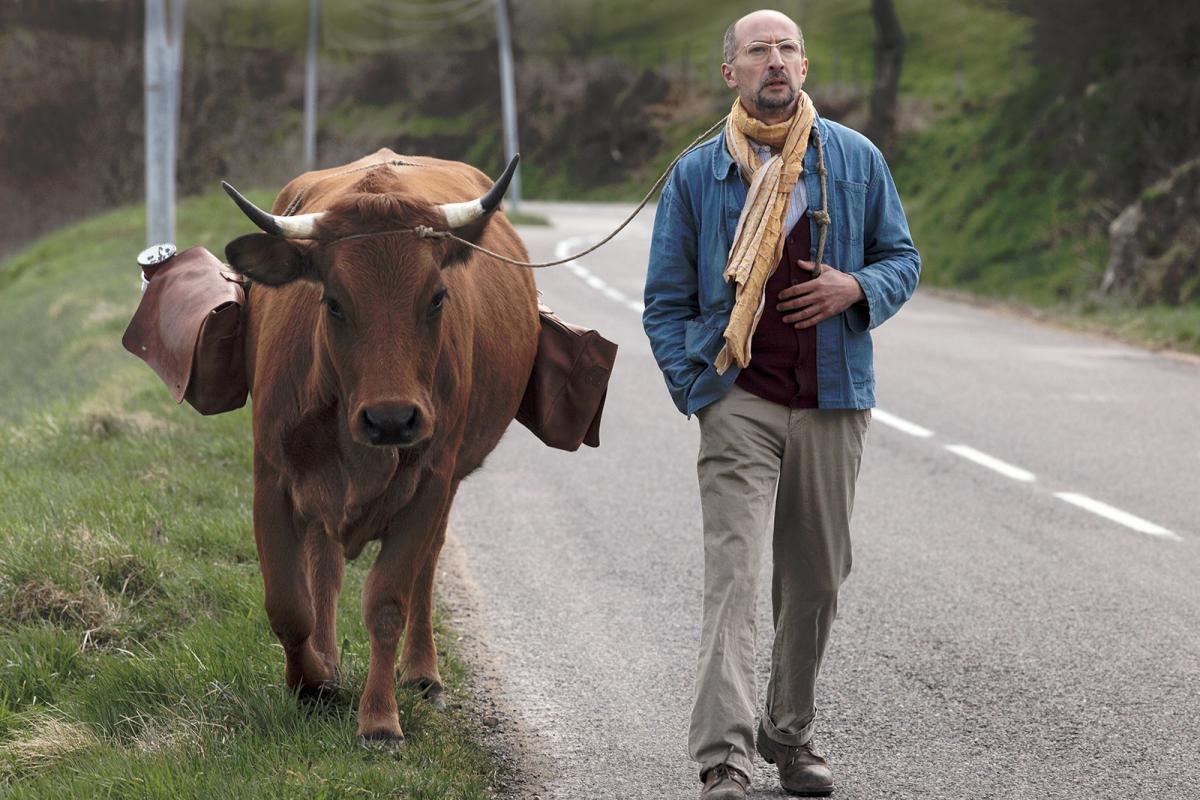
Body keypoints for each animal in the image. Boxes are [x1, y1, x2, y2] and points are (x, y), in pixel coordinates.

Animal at [222, 151, 540, 743]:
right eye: (332, 302)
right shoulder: (270, 478)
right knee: (325, 566)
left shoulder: (432, 482)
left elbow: (388, 600)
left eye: (437, 297)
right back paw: (327, 661)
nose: (391, 419)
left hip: (448, 480)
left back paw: (422, 673)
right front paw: (311, 682)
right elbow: (287, 605)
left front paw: (379, 718)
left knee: (427, 567)